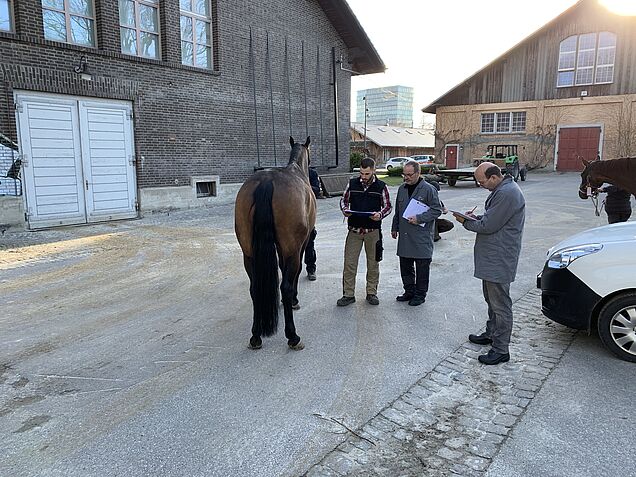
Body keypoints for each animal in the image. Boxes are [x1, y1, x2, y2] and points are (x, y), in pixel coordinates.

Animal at [235, 138, 316, 350]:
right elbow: (293, 274)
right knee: (285, 286)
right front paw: (294, 300)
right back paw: (293, 336)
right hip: (292, 250)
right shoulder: (298, 246)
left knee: (254, 288)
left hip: (248, 254)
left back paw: (255, 335)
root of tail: (267, 182)